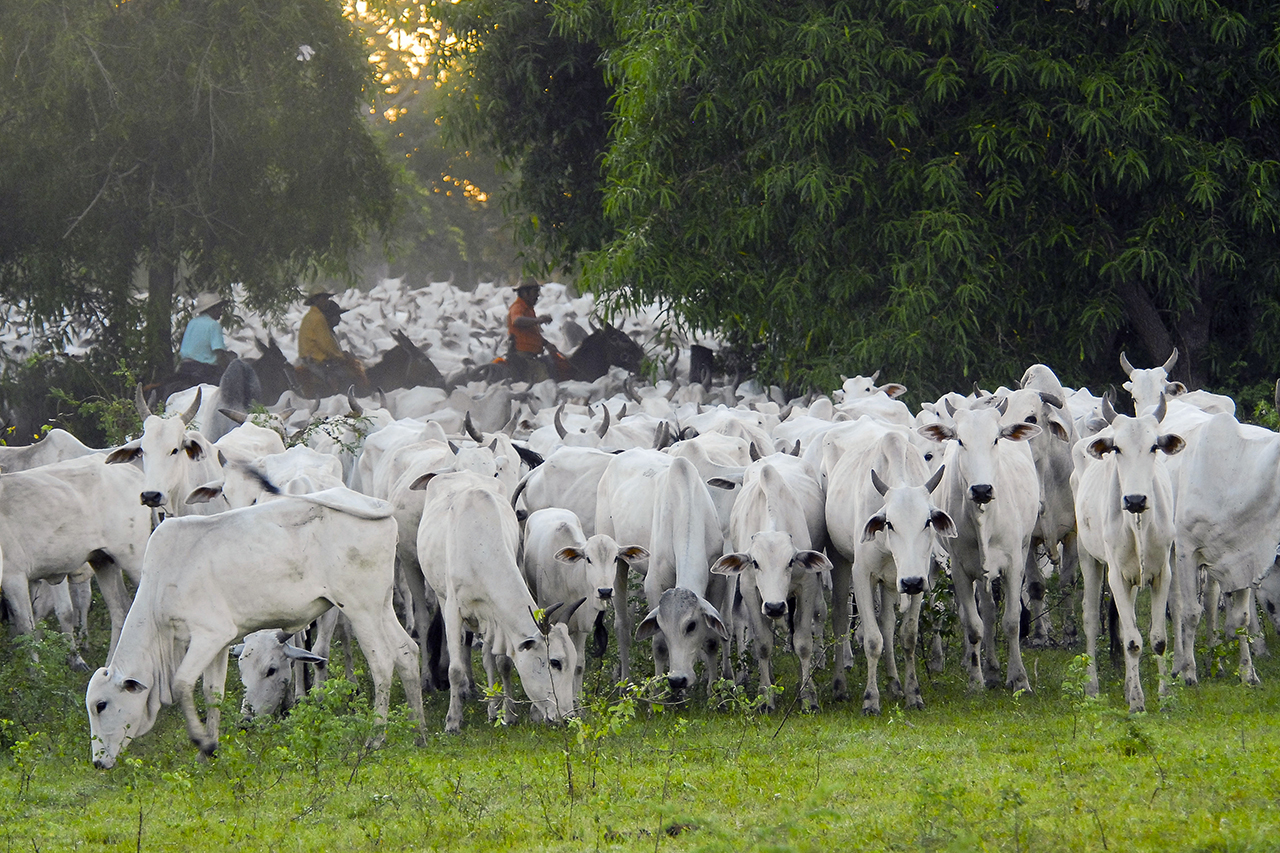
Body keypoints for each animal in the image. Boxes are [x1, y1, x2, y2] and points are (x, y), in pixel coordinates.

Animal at [86, 484, 424, 763]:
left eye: (101, 705)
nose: (98, 762)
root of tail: (375, 504)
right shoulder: (221, 642)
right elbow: (213, 692)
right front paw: (208, 751)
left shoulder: (208, 635)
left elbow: (182, 683)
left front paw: (202, 742)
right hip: (380, 605)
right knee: (407, 652)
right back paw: (417, 729)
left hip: (360, 607)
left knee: (382, 662)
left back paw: (376, 738)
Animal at [412, 468, 578, 727]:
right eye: (555, 662)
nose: (567, 716)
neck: (479, 545)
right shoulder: (453, 610)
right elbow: (455, 670)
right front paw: (453, 720)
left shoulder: (496, 617)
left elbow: (503, 662)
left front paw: (507, 713)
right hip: (441, 595)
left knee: (488, 658)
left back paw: (492, 708)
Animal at [711, 455, 829, 706]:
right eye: (755, 563)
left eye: (791, 561)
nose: (775, 607)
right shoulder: (749, 589)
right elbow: (763, 643)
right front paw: (766, 696)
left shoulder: (807, 586)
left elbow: (803, 642)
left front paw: (808, 695)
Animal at [921, 399, 1039, 691]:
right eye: (960, 440)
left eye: (995, 439)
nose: (982, 489)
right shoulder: (961, 569)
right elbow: (974, 625)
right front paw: (976, 680)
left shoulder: (1013, 564)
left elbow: (1011, 621)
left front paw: (1020, 678)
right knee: (986, 610)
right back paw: (990, 668)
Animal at [1075, 394, 1182, 706]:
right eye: (1117, 448)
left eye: (1154, 446)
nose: (1135, 499)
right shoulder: (1116, 577)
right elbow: (1134, 642)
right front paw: (1136, 701)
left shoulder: (1162, 574)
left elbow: (1158, 639)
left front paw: (1163, 695)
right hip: (1088, 557)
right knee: (1091, 620)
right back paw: (1092, 687)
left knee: (1125, 625)